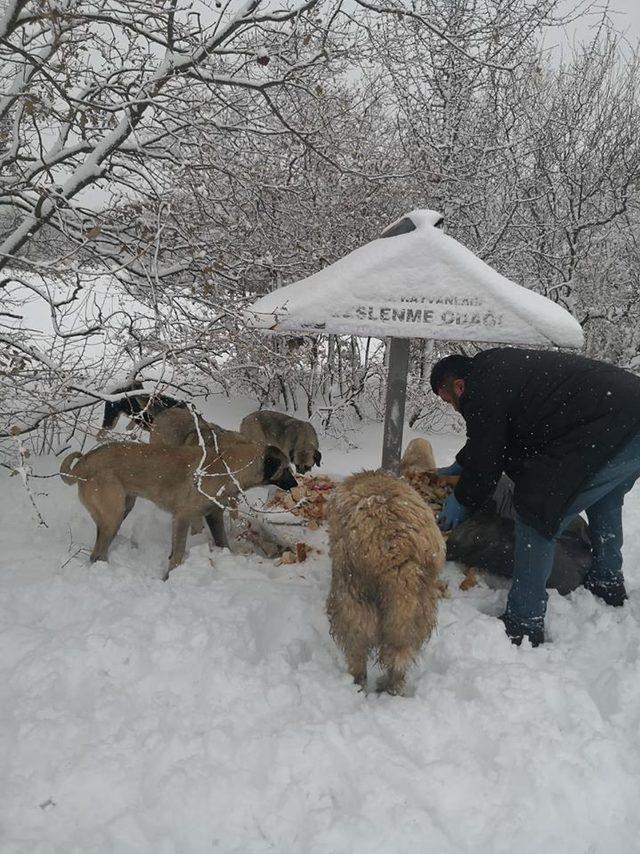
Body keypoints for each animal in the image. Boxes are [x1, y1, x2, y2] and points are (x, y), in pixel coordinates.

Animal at [59, 442, 296, 580]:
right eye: (285, 469)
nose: (295, 484)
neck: (227, 467)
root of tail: (83, 463)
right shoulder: (183, 518)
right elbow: (178, 554)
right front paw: (169, 577)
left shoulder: (213, 515)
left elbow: (222, 542)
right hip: (114, 514)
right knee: (96, 553)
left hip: (122, 509)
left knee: (99, 549)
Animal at [324, 472, 444, 700]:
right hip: (420, 610)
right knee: (399, 654)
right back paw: (392, 687)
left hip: (352, 601)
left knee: (357, 652)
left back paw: (357, 686)